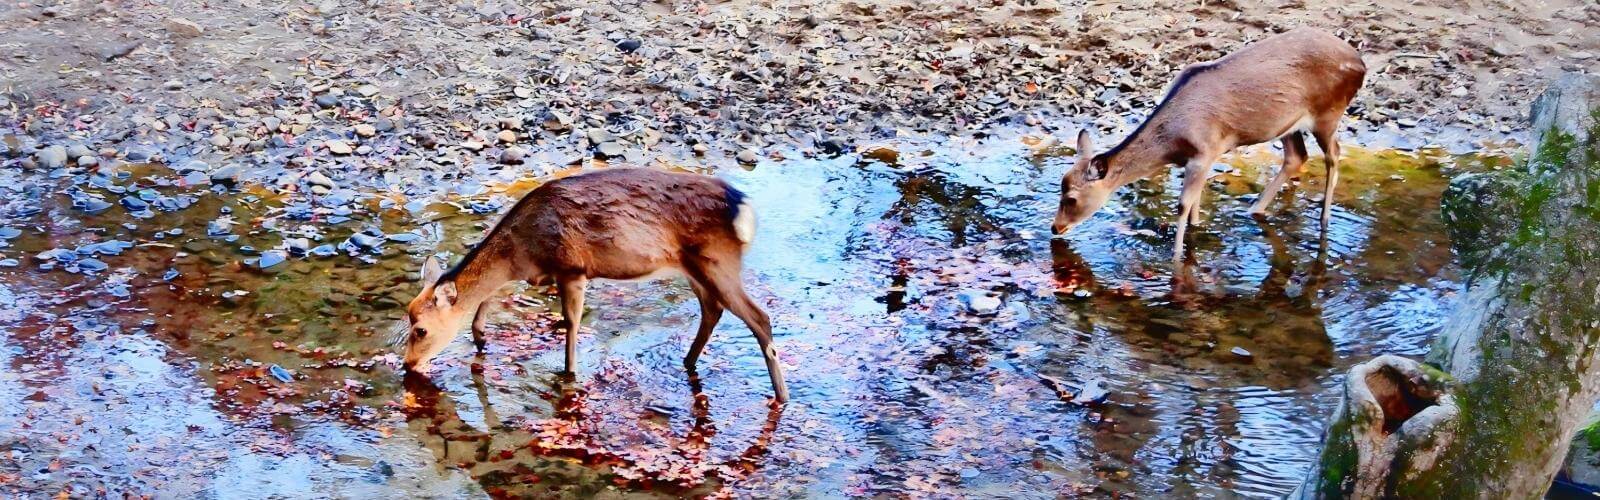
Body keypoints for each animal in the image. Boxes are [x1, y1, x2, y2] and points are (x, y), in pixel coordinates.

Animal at [396, 167, 789, 402]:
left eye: (420, 330)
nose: (408, 365)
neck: (523, 251)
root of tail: (744, 209)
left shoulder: (572, 268)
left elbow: (570, 324)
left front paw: (568, 374)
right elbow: (487, 303)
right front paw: (481, 340)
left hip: (718, 261)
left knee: (759, 318)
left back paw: (781, 397)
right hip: (695, 268)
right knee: (713, 310)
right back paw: (688, 362)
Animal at [1051, 27, 1367, 261]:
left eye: (1071, 199)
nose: (1055, 227)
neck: (1172, 143)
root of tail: (1361, 64)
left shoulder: (1205, 151)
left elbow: (1183, 204)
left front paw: (1176, 260)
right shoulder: (1201, 159)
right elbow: (1195, 204)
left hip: (1328, 113)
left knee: (1334, 155)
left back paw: (1324, 221)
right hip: (1286, 124)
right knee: (1296, 156)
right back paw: (1253, 210)